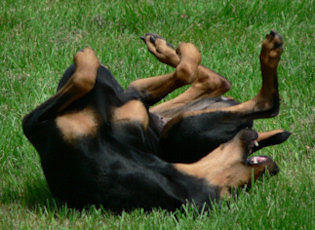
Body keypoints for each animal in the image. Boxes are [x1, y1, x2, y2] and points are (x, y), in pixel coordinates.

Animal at [22, 31, 292, 212]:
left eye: (240, 188)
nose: (274, 169)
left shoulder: (33, 125)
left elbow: (84, 77)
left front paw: (86, 58)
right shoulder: (132, 104)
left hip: (179, 127)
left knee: (268, 103)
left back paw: (269, 52)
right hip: (162, 114)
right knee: (214, 80)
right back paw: (166, 49)